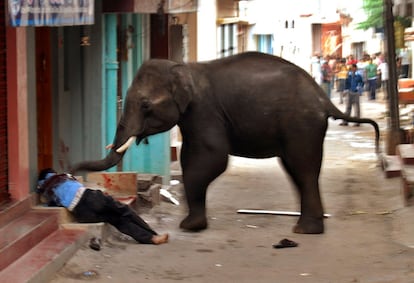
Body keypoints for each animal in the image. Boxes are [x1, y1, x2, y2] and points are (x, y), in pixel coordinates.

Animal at [71, 51, 378, 235]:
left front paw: (188, 226)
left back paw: (304, 231)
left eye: (146, 105)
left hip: (302, 123)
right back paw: (308, 228)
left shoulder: (204, 110)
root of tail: (322, 96)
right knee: (297, 170)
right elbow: (191, 158)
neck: (184, 68)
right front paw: (191, 221)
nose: (71, 171)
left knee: (303, 168)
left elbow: (211, 158)